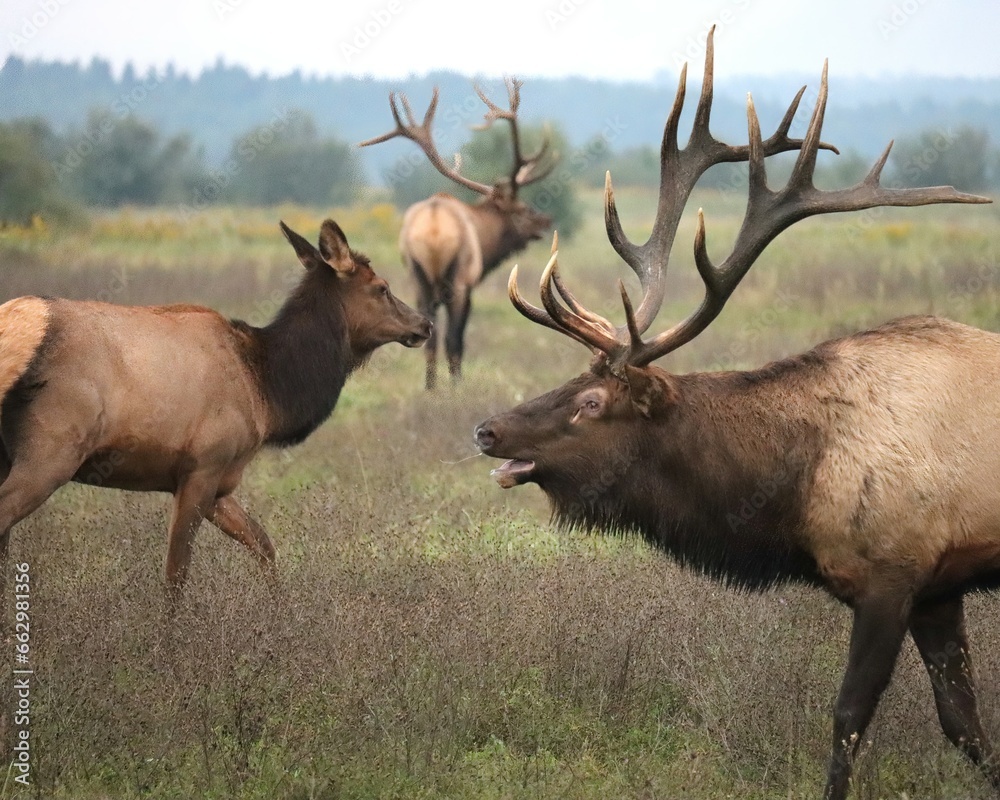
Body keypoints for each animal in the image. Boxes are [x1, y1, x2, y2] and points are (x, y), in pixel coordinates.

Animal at [0, 219, 430, 598]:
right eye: (382, 287)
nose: (424, 324)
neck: (267, 390)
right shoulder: (202, 466)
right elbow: (176, 575)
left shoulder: (223, 479)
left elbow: (265, 545)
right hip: (52, 452)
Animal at [361, 78, 556, 389]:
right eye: (523, 209)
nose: (546, 221)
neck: (485, 238)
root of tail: (434, 229)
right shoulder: (470, 283)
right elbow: (458, 339)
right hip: (457, 281)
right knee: (452, 339)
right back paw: (454, 389)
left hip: (418, 278)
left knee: (429, 337)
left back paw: (430, 389)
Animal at [474, 29, 995, 800]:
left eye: (592, 402)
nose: (486, 428)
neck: (795, 491)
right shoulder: (940, 582)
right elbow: (966, 727)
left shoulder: (892, 571)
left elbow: (848, 717)